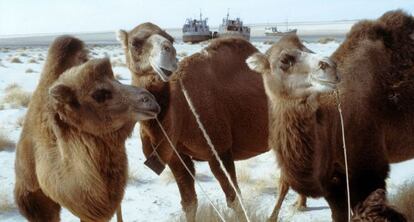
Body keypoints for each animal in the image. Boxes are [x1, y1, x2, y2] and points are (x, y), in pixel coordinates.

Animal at [116, 22, 276, 220]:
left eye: (170, 38)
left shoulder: (219, 150)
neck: (180, 111)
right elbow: (189, 203)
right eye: (134, 43)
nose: (169, 51)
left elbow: (235, 200)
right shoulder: (176, 157)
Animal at [247, 9, 412, 222]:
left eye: (308, 49)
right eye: (285, 60)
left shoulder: (369, 171)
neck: (329, 122)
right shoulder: (334, 183)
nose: (330, 65)